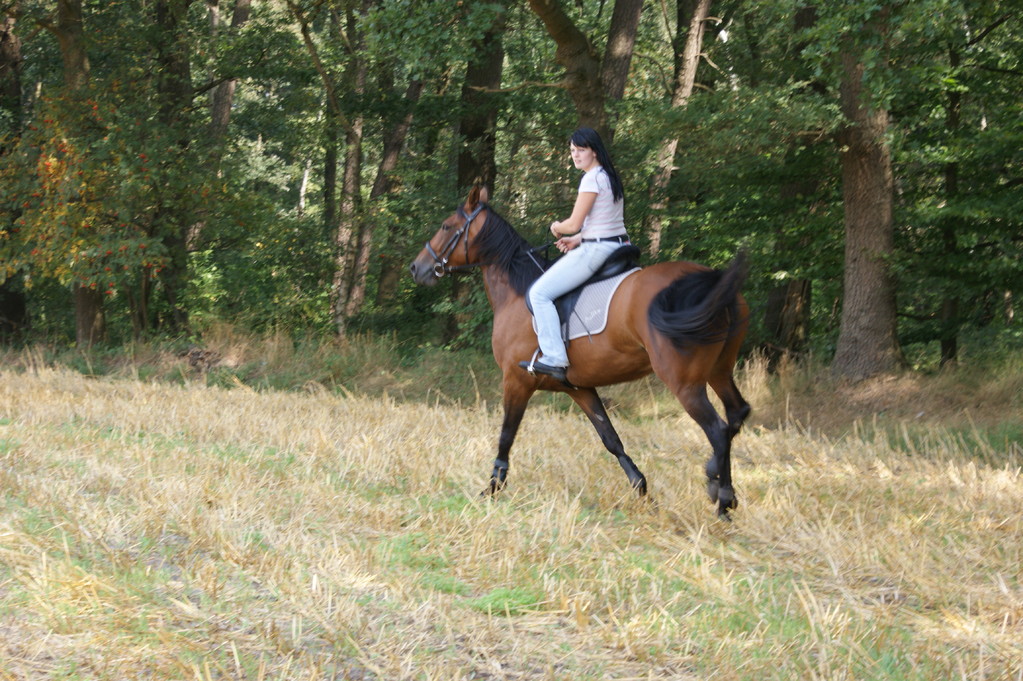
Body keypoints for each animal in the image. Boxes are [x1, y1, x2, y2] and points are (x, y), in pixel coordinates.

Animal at [407, 186, 752, 515]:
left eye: (446, 226)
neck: (516, 293)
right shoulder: (579, 388)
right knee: (737, 414)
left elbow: (506, 435)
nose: (416, 267)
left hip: (684, 383)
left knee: (718, 430)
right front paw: (642, 491)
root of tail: (712, 280)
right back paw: (716, 480)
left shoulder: (517, 381)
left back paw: (722, 498)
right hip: (719, 371)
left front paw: (491, 488)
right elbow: (611, 439)